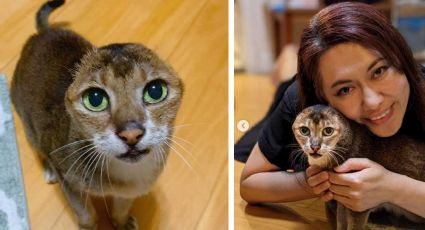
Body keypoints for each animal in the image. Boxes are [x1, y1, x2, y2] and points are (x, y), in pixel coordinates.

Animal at [11, 0, 182, 229]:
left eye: (155, 91)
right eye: (95, 99)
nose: (131, 134)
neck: (124, 175)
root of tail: (44, 32)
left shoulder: (130, 191)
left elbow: (121, 207)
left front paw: (122, 223)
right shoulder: (69, 182)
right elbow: (85, 213)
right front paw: (90, 226)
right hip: (28, 125)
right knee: (39, 147)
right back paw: (48, 168)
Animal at [292, 105, 424, 229]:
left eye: (328, 131)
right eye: (304, 130)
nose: (315, 147)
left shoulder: (359, 208)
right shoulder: (343, 201)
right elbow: (340, 222)